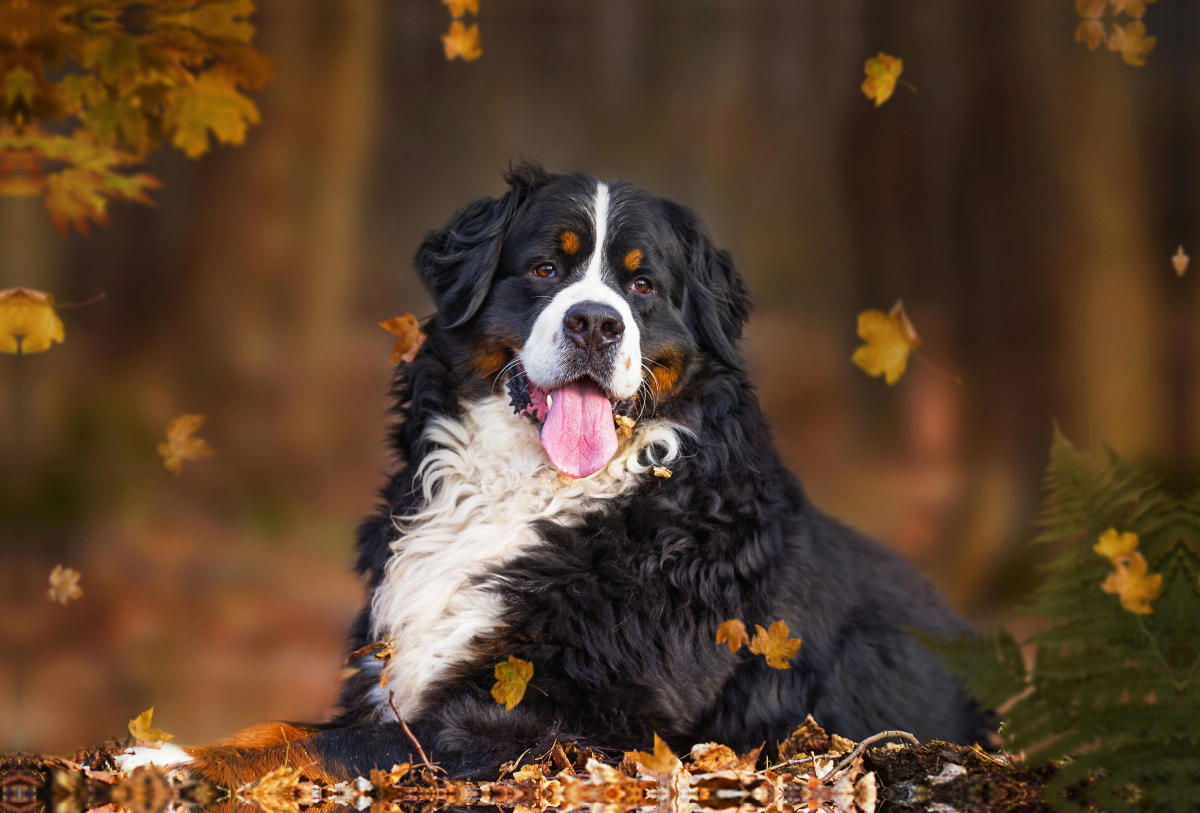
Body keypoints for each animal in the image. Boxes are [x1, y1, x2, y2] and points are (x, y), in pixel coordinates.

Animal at [117, 161, 988, 786]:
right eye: (544, 269)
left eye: (642, 284)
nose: (596, 323)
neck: (526, 492)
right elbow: (291, 724)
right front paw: (169, 746)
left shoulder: (553, 721)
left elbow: (325, 744)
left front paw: (169, 758)